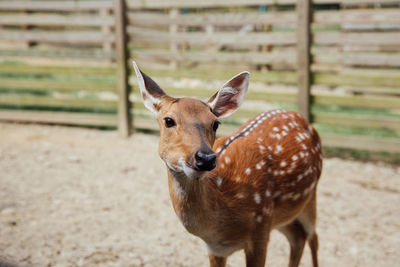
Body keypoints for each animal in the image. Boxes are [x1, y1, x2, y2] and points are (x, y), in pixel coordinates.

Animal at [133, 61, 324, 267]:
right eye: (168, 120)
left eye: (215, 123)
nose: (206, 158)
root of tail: (302, 119)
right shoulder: (215, 248)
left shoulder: (261, 226)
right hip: (286, 214)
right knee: (298, 237)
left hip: (310, 196)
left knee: (313, 237)